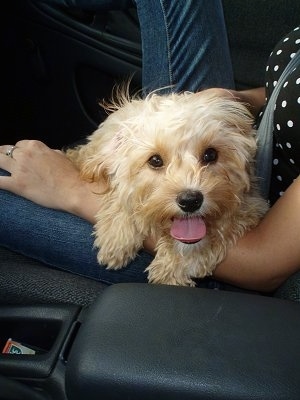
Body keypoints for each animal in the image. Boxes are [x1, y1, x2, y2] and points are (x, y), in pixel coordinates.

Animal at [65, 89, 268, 286]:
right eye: (155, 160)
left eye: (210, 154)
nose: (190, 201)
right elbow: (121, 194)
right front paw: (117, 237)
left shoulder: (254, 204)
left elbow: (228, 224)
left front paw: (173, 266)